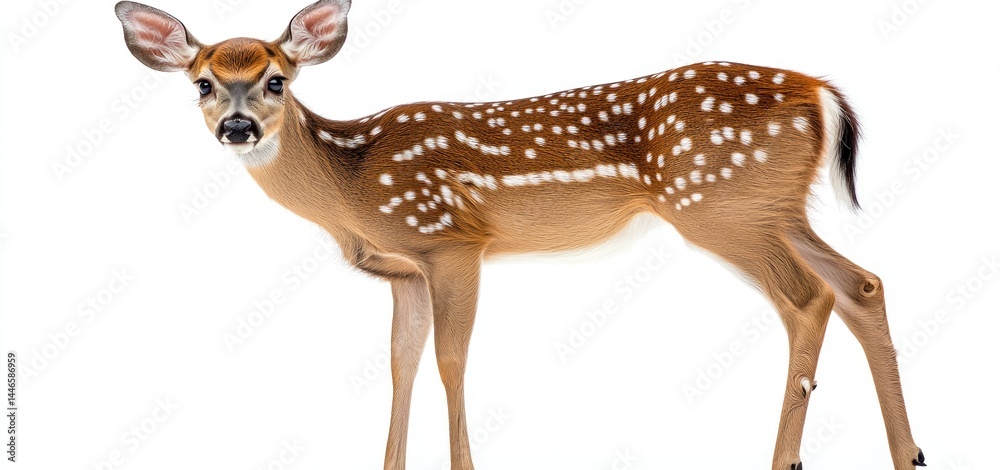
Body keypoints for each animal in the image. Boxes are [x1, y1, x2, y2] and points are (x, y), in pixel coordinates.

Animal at [114, 1, 925, 468]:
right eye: (203, 83)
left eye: (277, 79)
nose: (237, 126)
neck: (353, 184)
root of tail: (821, 92)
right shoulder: (404, 269)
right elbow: (401, 364)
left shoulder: (451, 241)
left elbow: (450, 360)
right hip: (774, 207)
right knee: (862, 282)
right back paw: (908, 453)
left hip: (718, 204)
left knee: (808, 298)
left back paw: (785, 461)